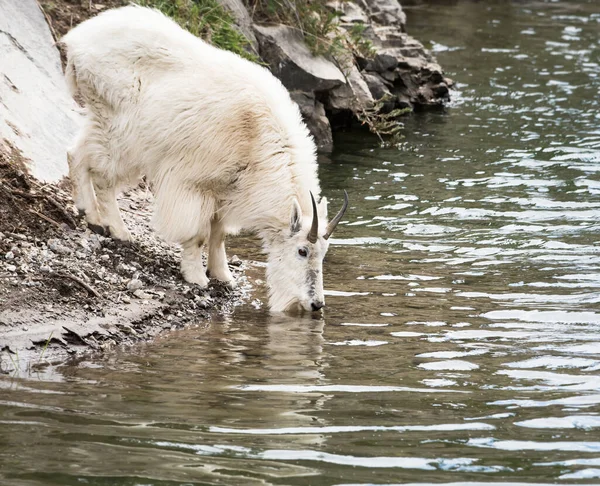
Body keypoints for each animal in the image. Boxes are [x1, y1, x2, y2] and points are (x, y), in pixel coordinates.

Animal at [58, 6, 350, 312]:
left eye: (324, 253)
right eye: (302, 250)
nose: (316, 304)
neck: (257, 137)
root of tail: (77, 39)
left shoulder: (226, 188)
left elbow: (218, 233)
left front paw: (223, 275)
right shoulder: (193, 182)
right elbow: (197, 234)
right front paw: (197, 277)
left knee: (77, 152)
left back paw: (93, 215)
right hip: (120, 128)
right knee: (99, 171)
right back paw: (112, 227)